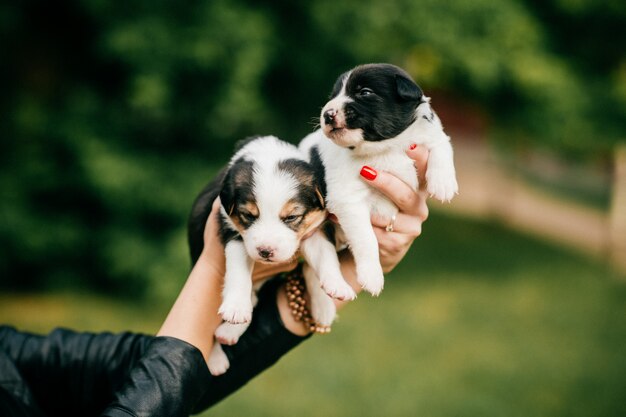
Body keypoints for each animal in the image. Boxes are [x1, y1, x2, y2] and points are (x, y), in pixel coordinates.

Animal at [185, 136, 352, 374]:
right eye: (248, 215)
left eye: (291, 217)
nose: (265, 251)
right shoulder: (232, 230)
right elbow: (238, 273)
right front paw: (236, 308)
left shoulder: (316, 230)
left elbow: (326, 256)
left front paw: (337, 285)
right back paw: (217, 357)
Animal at [300, 61, 456, 296]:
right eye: (334, 95)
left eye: (365, 92)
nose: (327, 114)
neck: (386, 148)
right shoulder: (348, 200)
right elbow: (367, 239)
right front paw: (372, 275)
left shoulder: (430, 135)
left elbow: (442, 147)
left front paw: (444, 184)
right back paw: (337, 286)